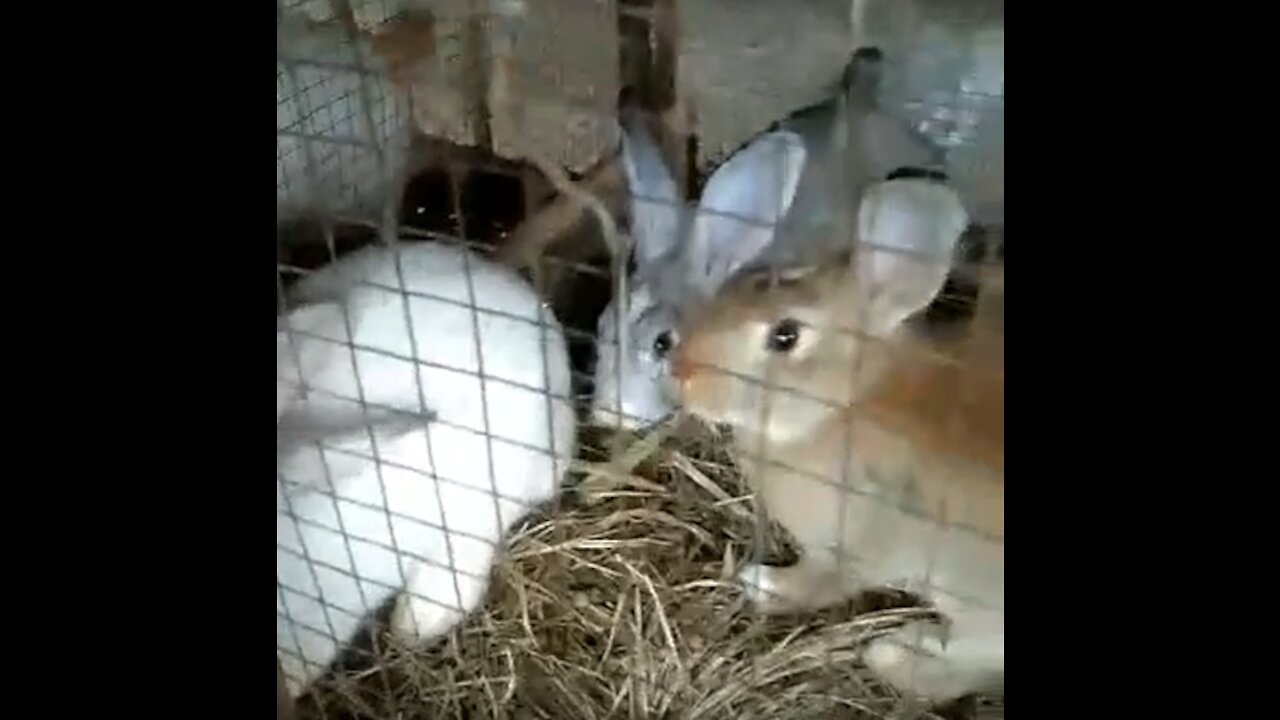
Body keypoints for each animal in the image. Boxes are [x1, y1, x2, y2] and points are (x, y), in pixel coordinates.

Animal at [670, 169, 998, 707]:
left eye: (785, 336)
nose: (682, 371)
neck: (846, 402)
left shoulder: (855, 541)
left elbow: (821, 583)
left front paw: (764, 583)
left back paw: (896, 656)